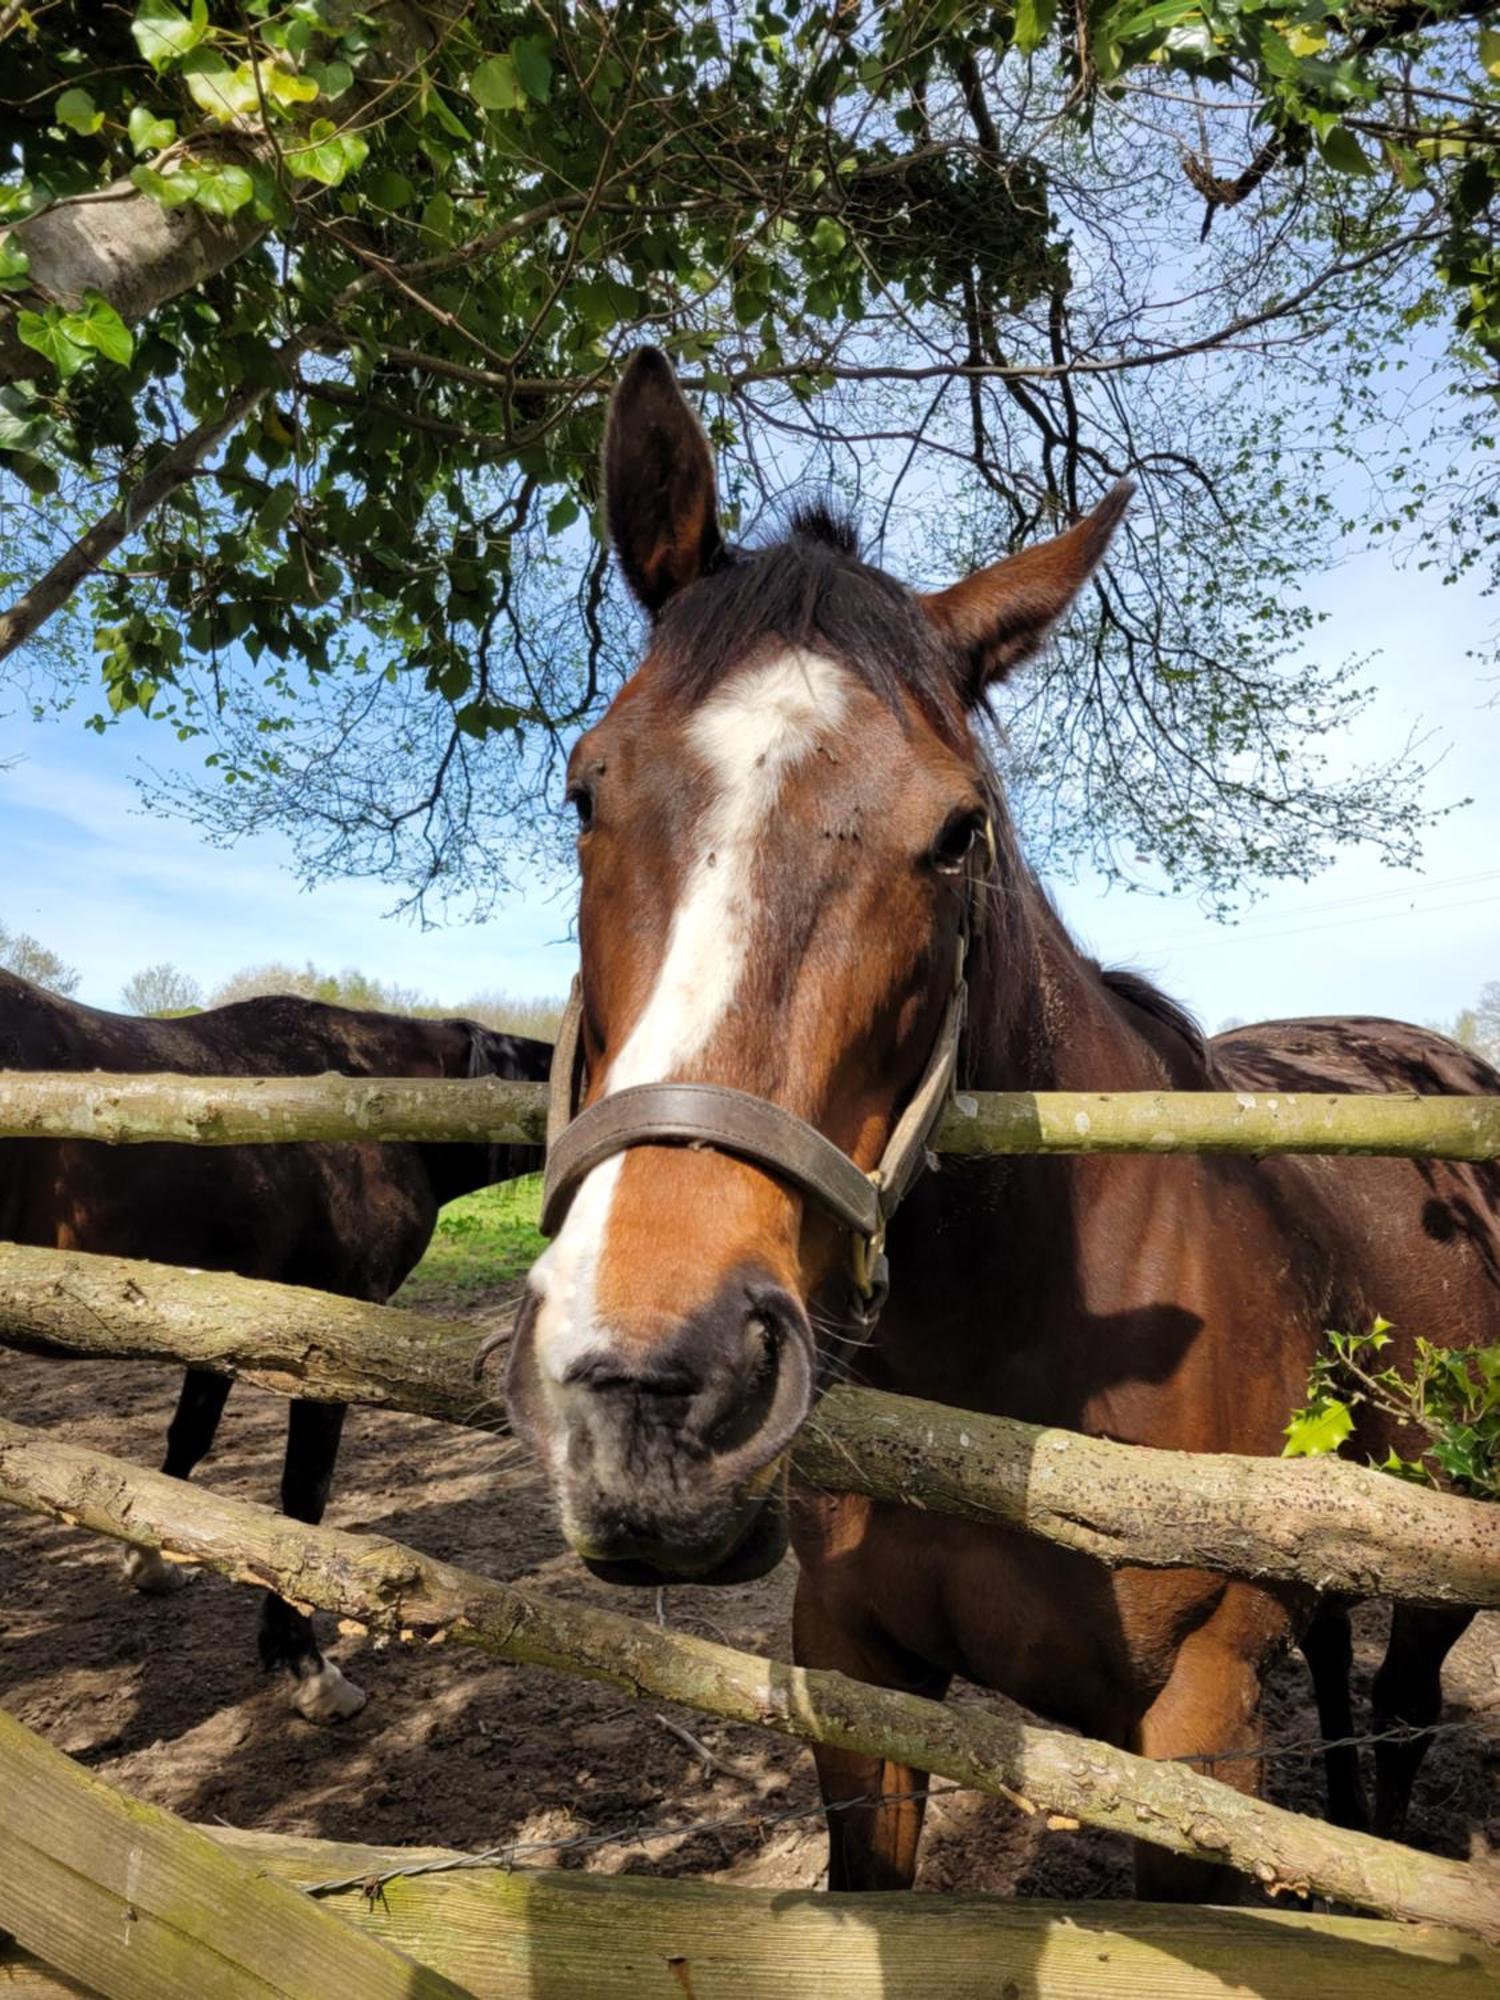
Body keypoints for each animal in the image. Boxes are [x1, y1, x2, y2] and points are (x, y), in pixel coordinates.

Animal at [2, 968, 548, 1720]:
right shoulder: (331, 1337)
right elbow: (302, 1498)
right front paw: (309, 1668)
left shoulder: (222, 1321)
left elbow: (187, 1443)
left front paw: (151, 1563)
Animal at [506, 352, 1500, 1896]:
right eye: (585, 787)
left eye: (957, 832)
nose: (653, 1392)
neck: (1006, 1347)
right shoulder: (855, 1672)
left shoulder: (1201, 1730)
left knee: (1396, 1710)